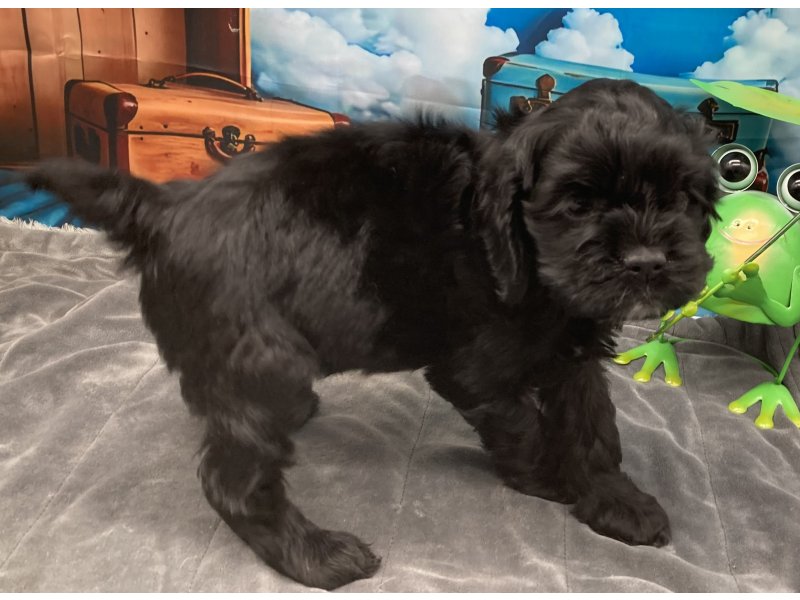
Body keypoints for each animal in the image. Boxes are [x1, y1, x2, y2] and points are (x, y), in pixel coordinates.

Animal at [27, 78, 719, 590]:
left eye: (681, 197)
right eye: (577, 203)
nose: (646, 262)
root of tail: (164, 209)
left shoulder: (573, 354)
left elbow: (595, 428)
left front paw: (615, 500)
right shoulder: (476, 369)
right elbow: (523, 424)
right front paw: (548, 479)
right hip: (264, 360)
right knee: (232, 479)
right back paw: (316, 555)